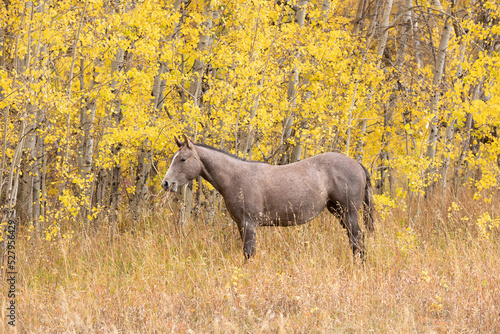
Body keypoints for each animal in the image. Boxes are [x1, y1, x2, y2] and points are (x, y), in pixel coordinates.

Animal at [162, 135, 374, 258]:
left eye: (183, 159)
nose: (166, 183)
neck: (236, 177)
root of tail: (357, 164)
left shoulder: (249, 224)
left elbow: (249, 253)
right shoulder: (241, 225)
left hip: (349, 212)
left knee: (358, 238)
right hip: (338, 212)